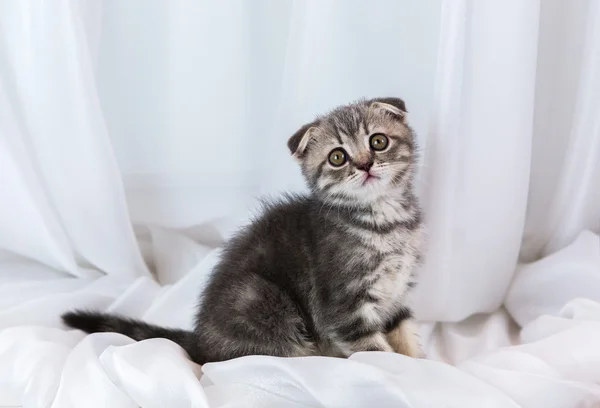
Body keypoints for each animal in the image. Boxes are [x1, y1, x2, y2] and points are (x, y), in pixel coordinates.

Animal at [63, 98, 424, 364]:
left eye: (378, 141)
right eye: (338, 157)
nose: (365, 164)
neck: (384, 220)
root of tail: (201, 341)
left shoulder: (397, 292)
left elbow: (405, 333)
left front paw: (420, 364)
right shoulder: (343, 303)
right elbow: (375, 350)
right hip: (262, 299)